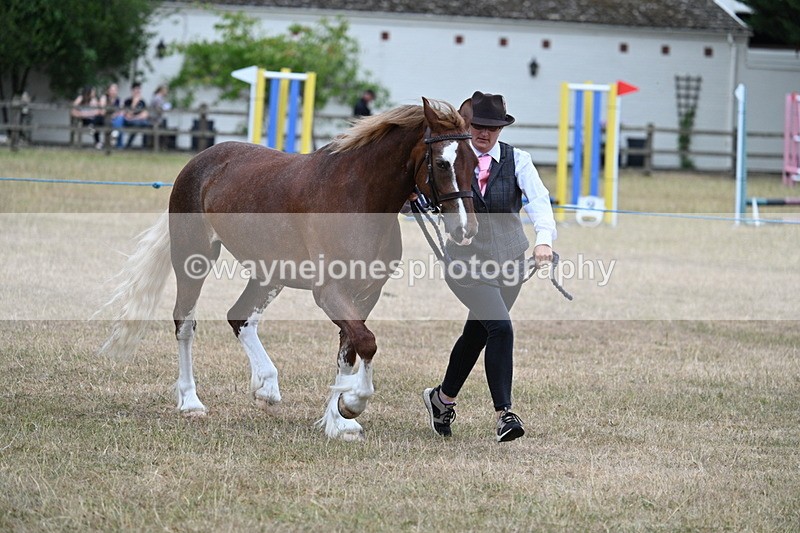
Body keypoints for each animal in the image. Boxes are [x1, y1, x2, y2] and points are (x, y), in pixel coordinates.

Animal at [97, 97, 479, 441]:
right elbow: (367, 343)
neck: (357, 197)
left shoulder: (365, 293)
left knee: (240, 317)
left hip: (269, 274)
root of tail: (200, 161)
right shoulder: (329, 293)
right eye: (442, 163)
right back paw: (192, 402)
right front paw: (352, 405)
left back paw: (266, 386)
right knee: (185, 323)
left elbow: (348, 351)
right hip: (194, 257)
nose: (466, 229)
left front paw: (338, 422)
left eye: (475, 161)